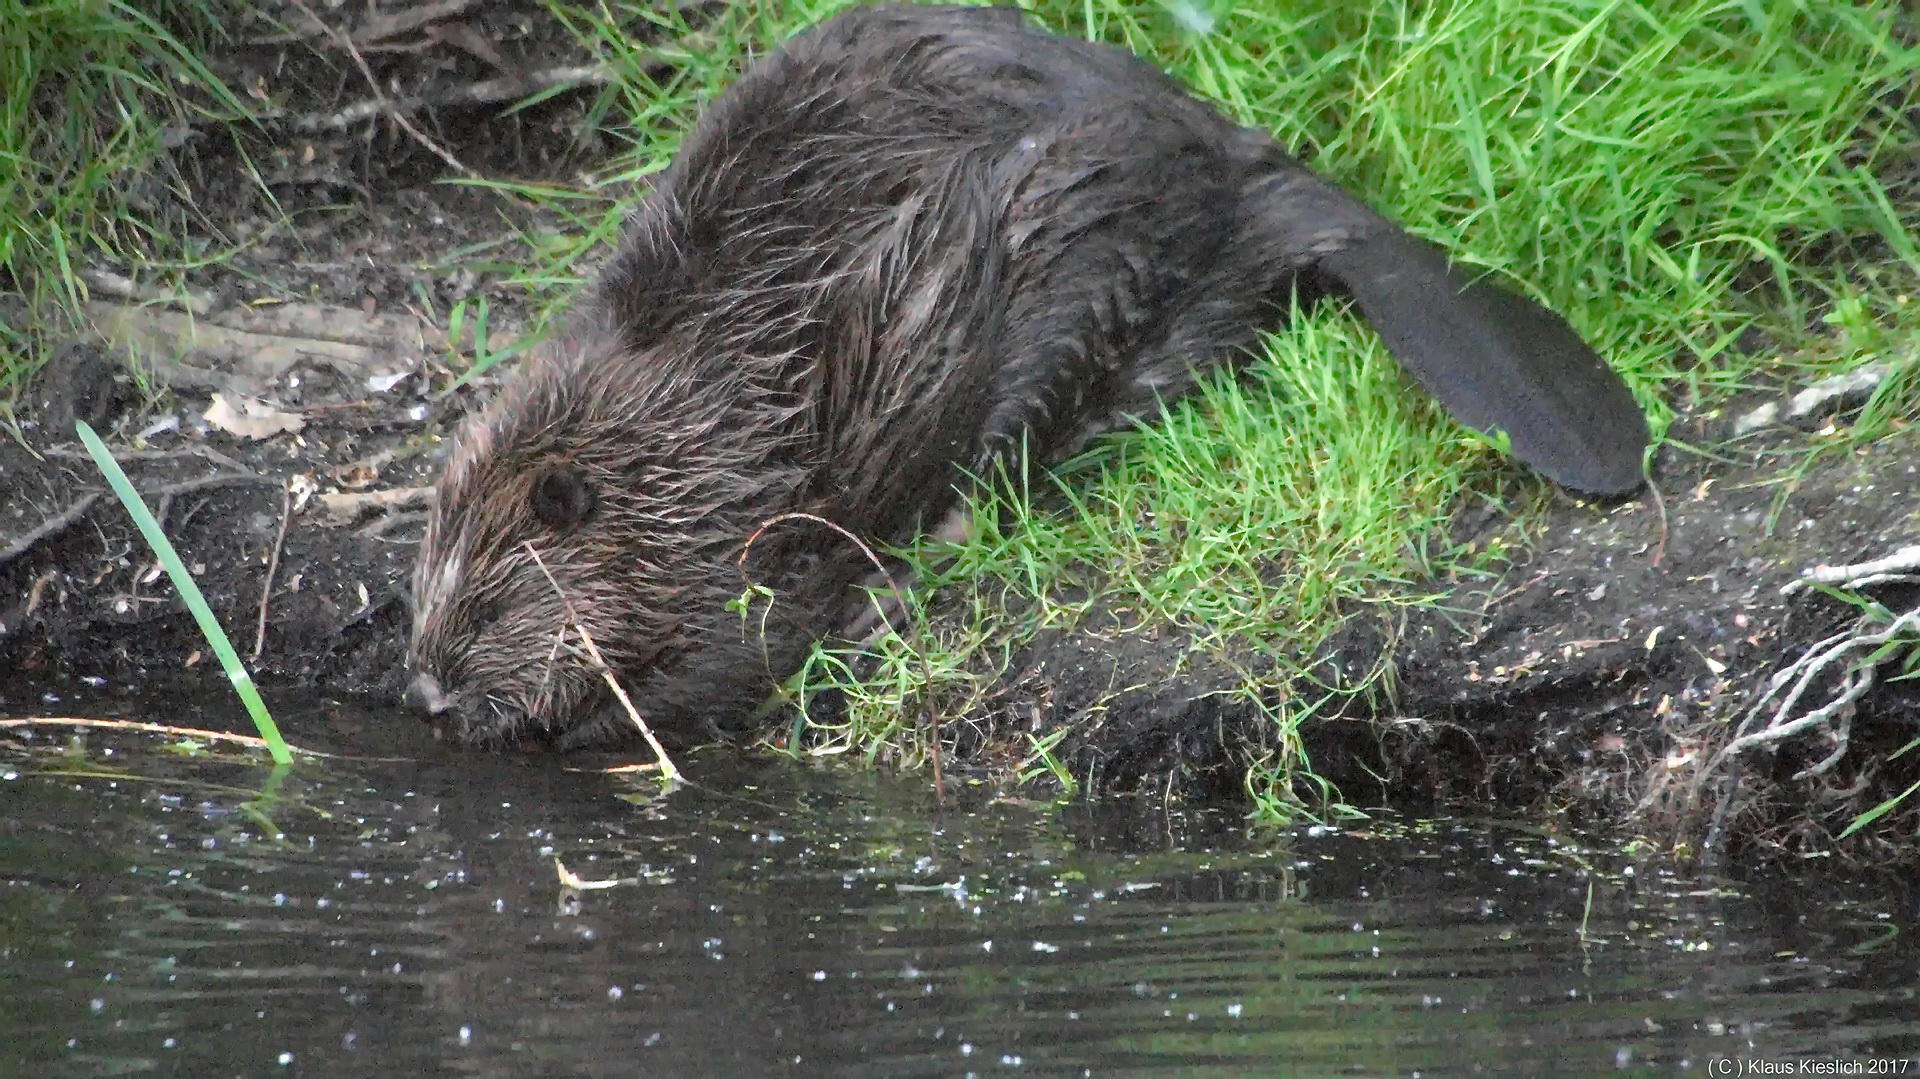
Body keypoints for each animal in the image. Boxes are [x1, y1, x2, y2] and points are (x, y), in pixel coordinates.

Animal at [405, 4, 1651, 748]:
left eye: (492, 601)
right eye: (429, 588)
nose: (424, 690)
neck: (686, 409)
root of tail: (1292, 199)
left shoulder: (755, 512)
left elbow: (744, 641)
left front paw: (583, 722)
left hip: (1064, 254)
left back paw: (906, 578)